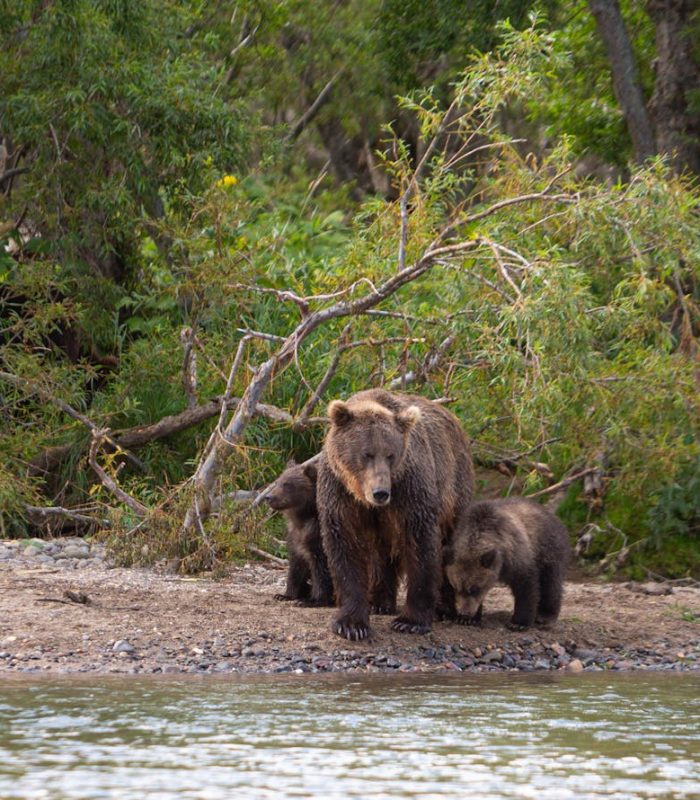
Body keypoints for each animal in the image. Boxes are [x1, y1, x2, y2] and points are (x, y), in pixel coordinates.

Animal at [266, 462, 336, 608]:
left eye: (287, 484)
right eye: (277, 482)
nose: (268, 497)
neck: (302, 519)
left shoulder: (317, 537)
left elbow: (321, 569)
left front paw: (313, 600)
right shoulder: (295, 538)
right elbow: (296, 568)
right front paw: (284, 595)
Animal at [318, 384, 476, 640]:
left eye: (390, 455)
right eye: (367, 453)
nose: (381, 493)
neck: (360, 493)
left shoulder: (409, 487)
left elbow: (420, 543)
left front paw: (410, 621)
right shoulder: (339, 492)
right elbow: (345, 546)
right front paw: (352, 624)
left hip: (455, 485)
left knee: (453, 542)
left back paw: (446, 609)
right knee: (380, 554)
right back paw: (379, 602)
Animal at [446, 496, 572, 628]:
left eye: (475, 588)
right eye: (456, 588)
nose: (465, 613)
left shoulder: (517, 556)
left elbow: (526, 587)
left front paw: (518, 623)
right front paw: (469, 619)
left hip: (550, 550)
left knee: (551, 583)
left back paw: (545, 616)